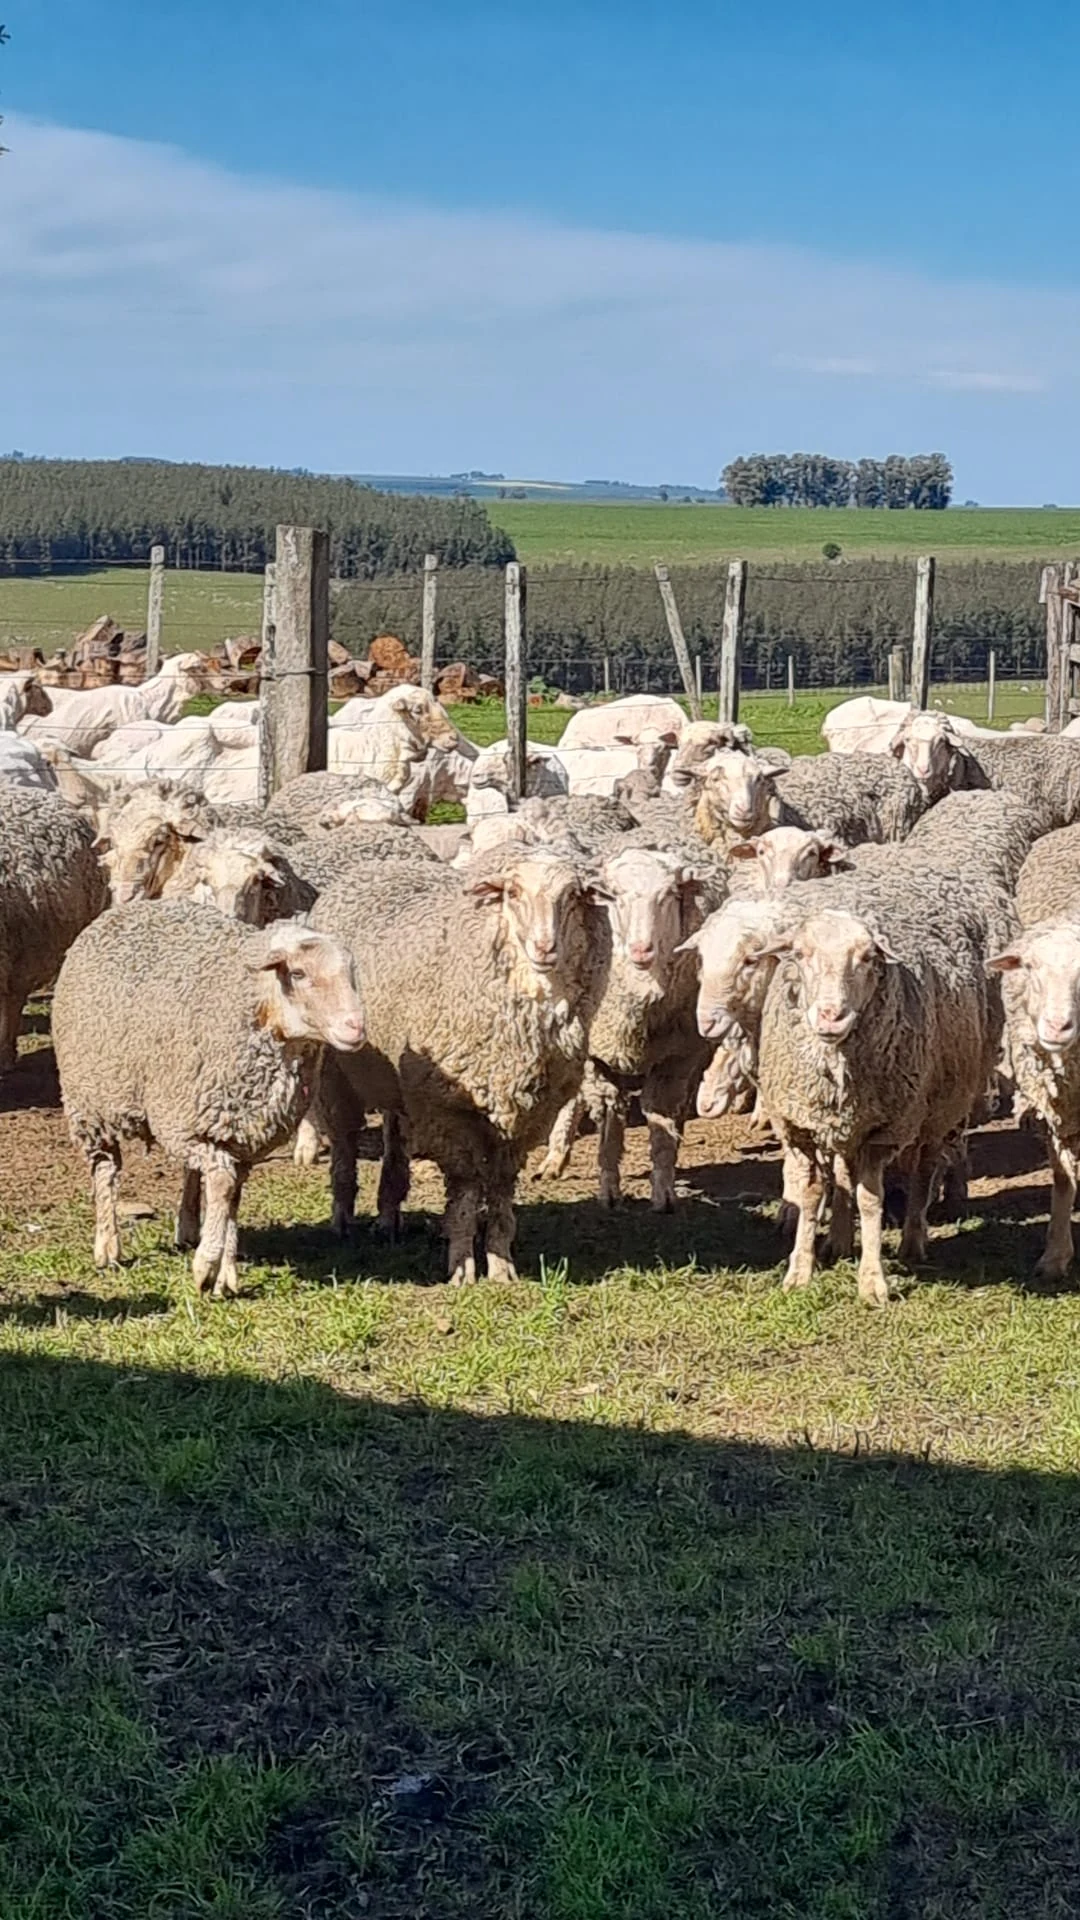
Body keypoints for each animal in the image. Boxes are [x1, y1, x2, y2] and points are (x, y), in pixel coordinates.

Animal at [53, 902, 365, 1294]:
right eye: (298, 973)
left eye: (351, 973)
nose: (356, 1027)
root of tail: (125, 910)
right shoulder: (189, 1126)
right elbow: (222, 1183)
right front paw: (206, 1266)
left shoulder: (240, 1136)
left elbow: (231, 1197)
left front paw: (225, 1271)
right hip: (94, 1103)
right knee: (106, 1169)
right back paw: (108, 1247)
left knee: (190, 1171)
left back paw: (187, 1229)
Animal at [312, 846, 610, 1282]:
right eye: (513, 893)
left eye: (573, 896)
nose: (544, 947)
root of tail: (372, 866)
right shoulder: (449, 1110)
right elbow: (467, 1193)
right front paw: (462, 1267)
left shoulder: (527, 1114)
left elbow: (501, 1191)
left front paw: (502, 1266)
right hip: (337, 1077)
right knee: (345, 1145)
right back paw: (342, 1219)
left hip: (397, 1084)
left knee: (394, 1141)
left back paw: (388, 1217)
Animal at [535, 845, 722, 1207]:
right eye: (615, 897)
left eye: (668, 895)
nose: (641, 949)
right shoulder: (598, 1057)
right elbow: (609, 1125)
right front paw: (608, 1190)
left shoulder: (677, 1058)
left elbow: (662, 1121)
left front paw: (664, 1190)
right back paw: (555, 1158)